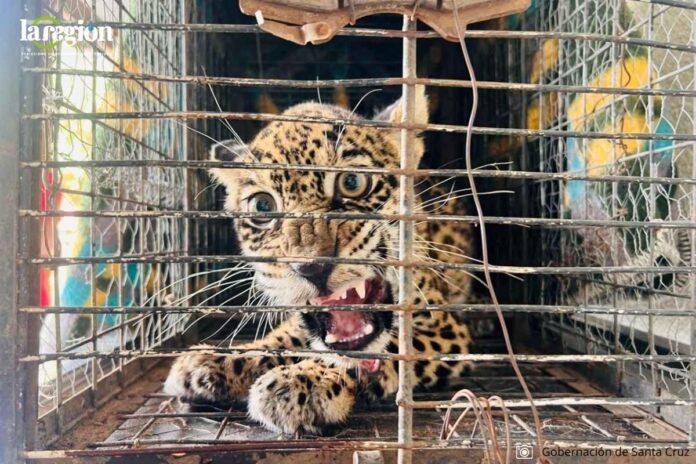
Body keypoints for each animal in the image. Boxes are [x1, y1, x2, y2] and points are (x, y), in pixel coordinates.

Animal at [164, 86, 476, 435]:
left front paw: (303, 380)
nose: (312, 266)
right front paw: (215, 359)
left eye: (352, 182)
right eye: (263, 206)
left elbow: (376, 352)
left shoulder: (444, 329)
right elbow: (285, 337)